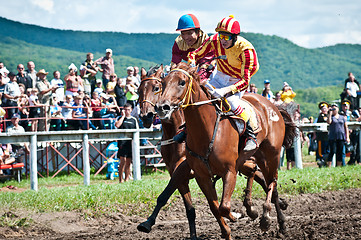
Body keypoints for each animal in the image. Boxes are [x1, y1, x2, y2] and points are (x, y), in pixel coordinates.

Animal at [155, 62, 296, 240]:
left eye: (182, 82)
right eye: (163, 83)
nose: (162, 107)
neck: (206, 131)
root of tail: (273, 107)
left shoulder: (229, 171)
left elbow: (224, 207)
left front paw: (237, 215)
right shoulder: (201, 176)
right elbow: (215, 207)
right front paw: (227, 230)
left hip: (271, 155)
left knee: (272, 183)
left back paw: (267, 218)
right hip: (254, 157)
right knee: (261, 177)